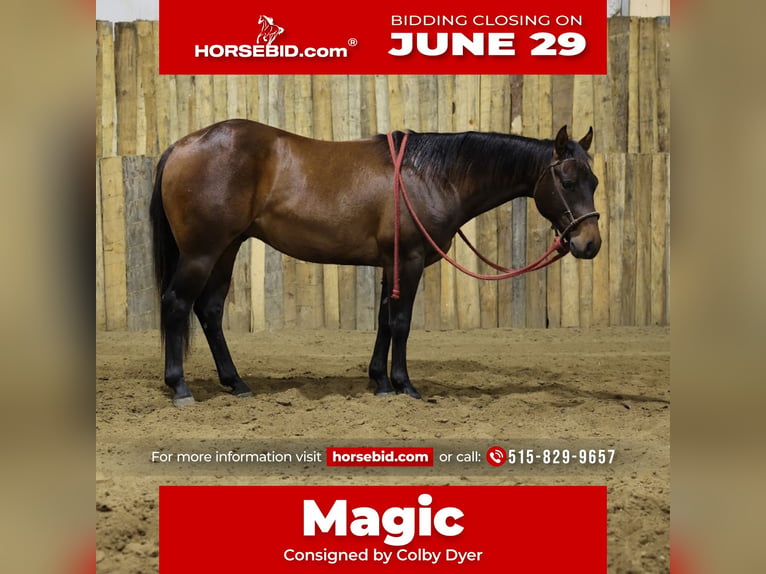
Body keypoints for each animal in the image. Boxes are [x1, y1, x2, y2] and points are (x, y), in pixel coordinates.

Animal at [150, 120, 601, 407]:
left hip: (227, 249)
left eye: (594, 181)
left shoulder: (392, 264)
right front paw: (404, 385)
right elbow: (401, 323)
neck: (430, 176)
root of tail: (180, 146)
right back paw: (181, 388)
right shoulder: (411, 260)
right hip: (203, 251)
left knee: (210, 310)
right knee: (176, 304)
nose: (590, 243)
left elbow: (384, 320)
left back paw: (236, 383)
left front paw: (381, 382)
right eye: (567, 182)